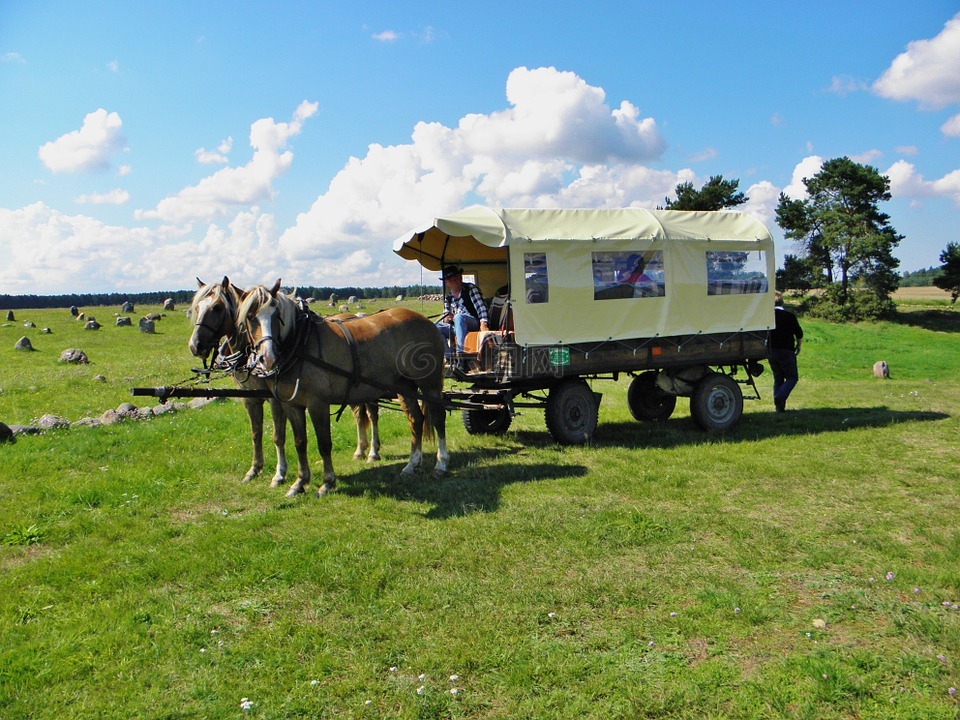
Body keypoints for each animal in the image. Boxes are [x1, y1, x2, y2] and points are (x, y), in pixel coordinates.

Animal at [188, 278, 382, 486]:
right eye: (197, 307)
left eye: (217, 307)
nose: (195, 345)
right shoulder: (250, 399)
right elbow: (256, 433)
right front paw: (254, 469)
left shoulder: (275, 399)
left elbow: (278, 436)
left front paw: (279, 473)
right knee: (359, 414)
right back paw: (360, 450)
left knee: (371, 414)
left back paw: (373, 451)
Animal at [240, 278, 450, 498]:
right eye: (250, 318)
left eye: (277, 315)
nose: (267, 357)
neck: (301, 345)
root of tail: (426, 321)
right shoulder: (292, 405)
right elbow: (300, 442)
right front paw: (300, 482)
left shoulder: (318, 404)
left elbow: (324, 443)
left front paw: (327, 482)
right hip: (404, 385)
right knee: (416, 419)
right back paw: (411, 464)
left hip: (429, 384)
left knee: (438, 417)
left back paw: (441, 464)